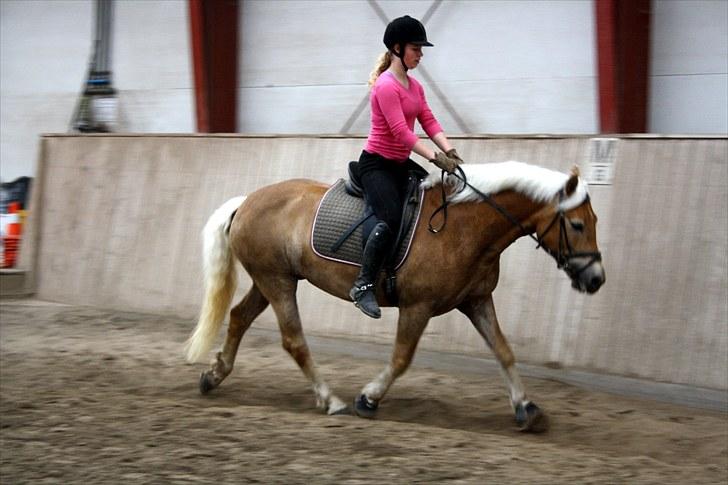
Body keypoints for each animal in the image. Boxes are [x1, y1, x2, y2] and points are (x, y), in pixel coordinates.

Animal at [185, 161, 604, 430]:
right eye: (577, 225)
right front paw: (368, 399)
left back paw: (213, 376)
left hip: (271, 279)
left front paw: (526, 408)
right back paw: (331, 400)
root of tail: (246, 201)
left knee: (239, 318)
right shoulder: (418, 306)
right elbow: (402, 358)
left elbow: (503, 351)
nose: (596, 279)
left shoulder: (476, 301)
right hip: (277, 281)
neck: (465, 228)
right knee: (293, 340)